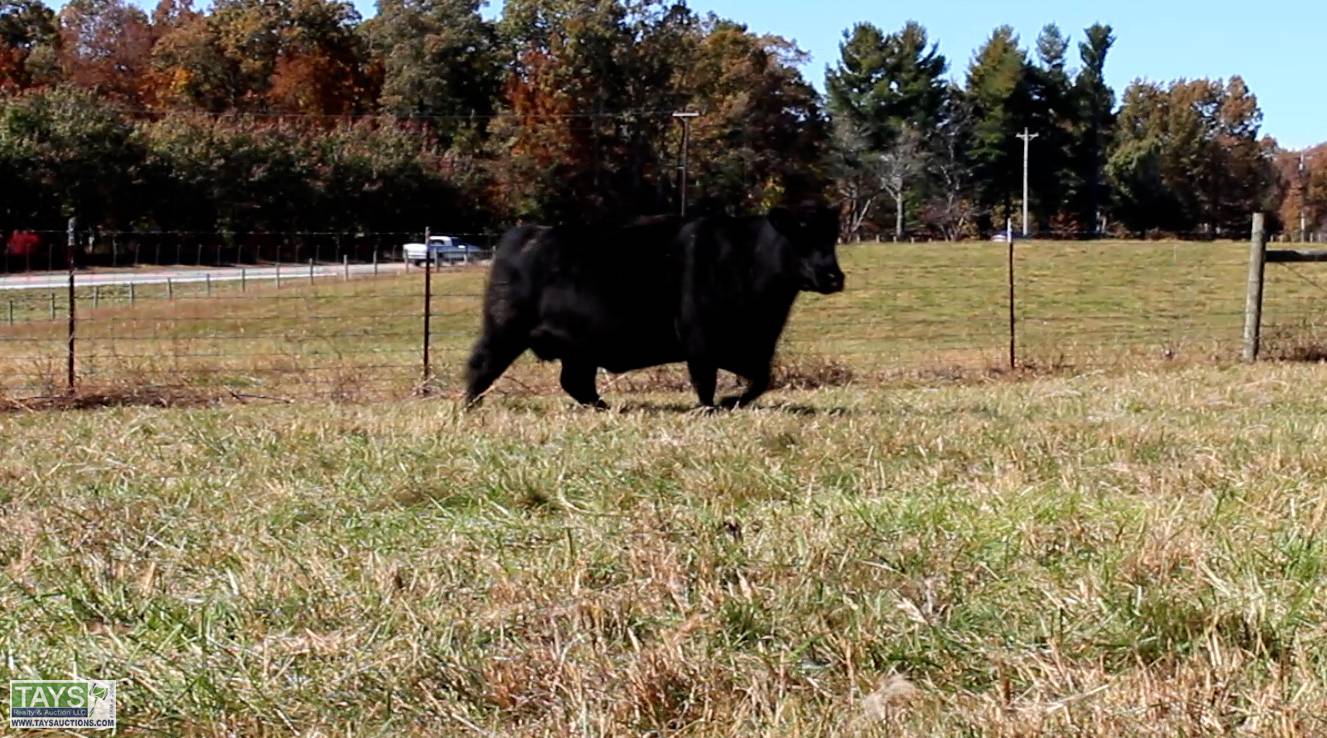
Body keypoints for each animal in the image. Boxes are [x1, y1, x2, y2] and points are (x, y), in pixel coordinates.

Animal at [463, 205, 845, 409]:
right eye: (799, 236)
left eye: (831, 237)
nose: (832, 276)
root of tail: (525, 233)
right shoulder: (700, 340)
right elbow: (705, 382)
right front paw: (712, 407)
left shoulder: (753, 347)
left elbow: (761, 380)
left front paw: (729, 402)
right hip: (504, 330)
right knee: (481, 367)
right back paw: (470, 406)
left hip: (579, 348)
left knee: (576, 382)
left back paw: (606, 407)